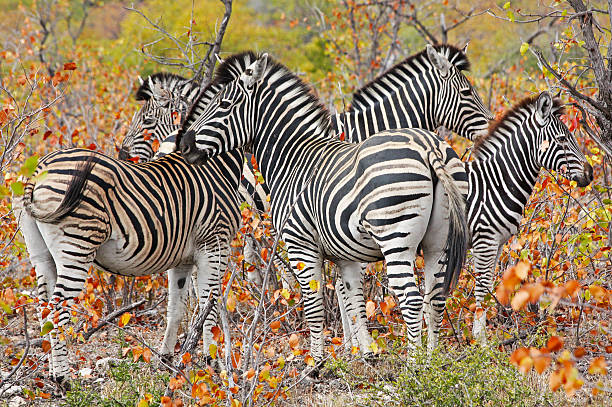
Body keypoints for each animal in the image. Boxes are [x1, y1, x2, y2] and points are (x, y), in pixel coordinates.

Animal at [464, 91, 592, 342]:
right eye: (562, 139)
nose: (590, 173)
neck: (494, 183)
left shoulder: (497, 243)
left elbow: (488, 285)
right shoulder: (484, 241)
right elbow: (482, 288)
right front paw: (480, 343)